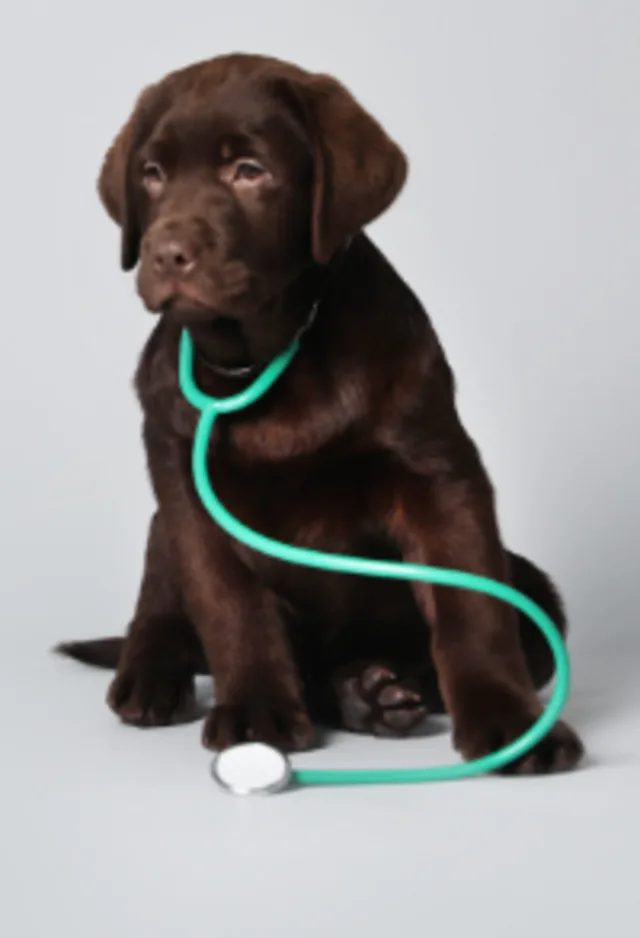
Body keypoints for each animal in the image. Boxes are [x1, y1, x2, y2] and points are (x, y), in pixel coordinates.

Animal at [58, 53, 584, 768]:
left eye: (250, 171)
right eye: (153, 173)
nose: (166, 254)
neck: (263, 357)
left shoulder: (438, 474)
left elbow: (471, 606)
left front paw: (513, 724)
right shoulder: (183, 483)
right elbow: (228, 603)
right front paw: (254, 712)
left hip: (533, 587)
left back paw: (371, 692)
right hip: (163, 528)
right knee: (159, 597)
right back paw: (153, 672)